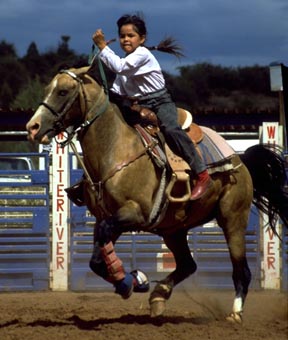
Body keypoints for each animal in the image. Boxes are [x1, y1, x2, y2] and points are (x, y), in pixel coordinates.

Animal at [25, 64, 286, 324]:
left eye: (63, 91)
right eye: (47, 89)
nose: (32, 127)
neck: (115, 148)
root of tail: (239, 159)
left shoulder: (134, 214)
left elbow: (100, 254)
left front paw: (132, 280)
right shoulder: (106, 218)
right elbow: (96, 260)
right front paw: (131, 282)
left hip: (232, 219)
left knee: (241, 270)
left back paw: (235, 313)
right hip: (174, 230)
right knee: (188, 265)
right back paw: (159, 295)